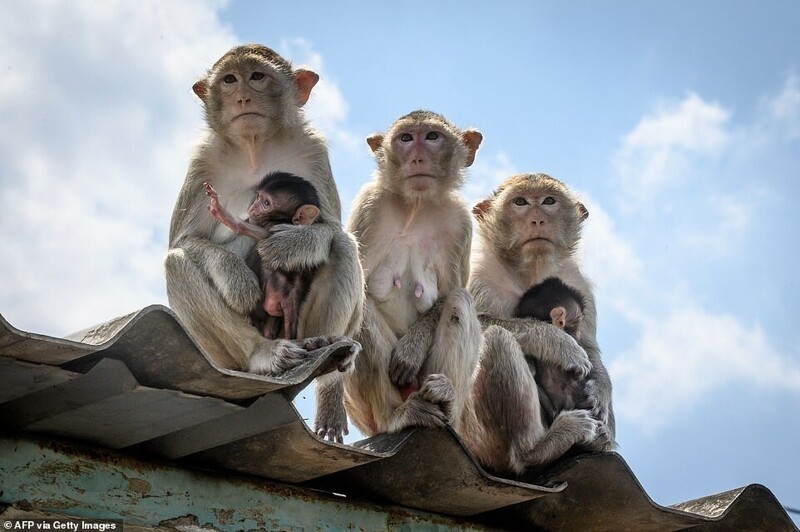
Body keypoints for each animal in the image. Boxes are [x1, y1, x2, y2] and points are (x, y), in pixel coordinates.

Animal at [203, 172, 322, 342]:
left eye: (266, 203)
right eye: (258, 197)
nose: (252, 208)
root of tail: (292, 296)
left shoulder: (274, 228)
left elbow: (252, 231)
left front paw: (222, 212)